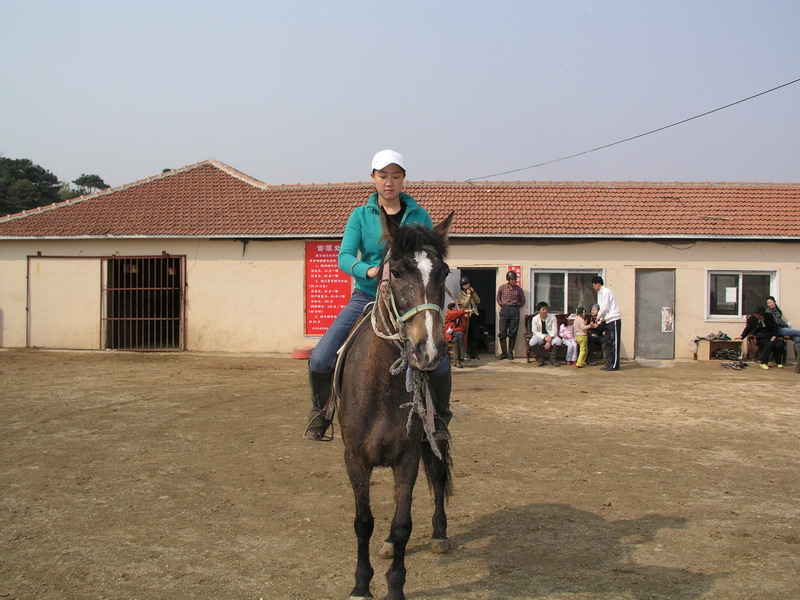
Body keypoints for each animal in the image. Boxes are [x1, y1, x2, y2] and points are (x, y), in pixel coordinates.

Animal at [334, 211, 454, 600]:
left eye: (444, 273)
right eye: (397, 272)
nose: (428, 350)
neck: (382, 389)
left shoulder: (408, 457)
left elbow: (403, 523)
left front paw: (395, 587)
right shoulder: (355, 459)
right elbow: (363, 521)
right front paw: (361, 585)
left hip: (435, 436)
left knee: (439, 474)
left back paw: (440, 535)